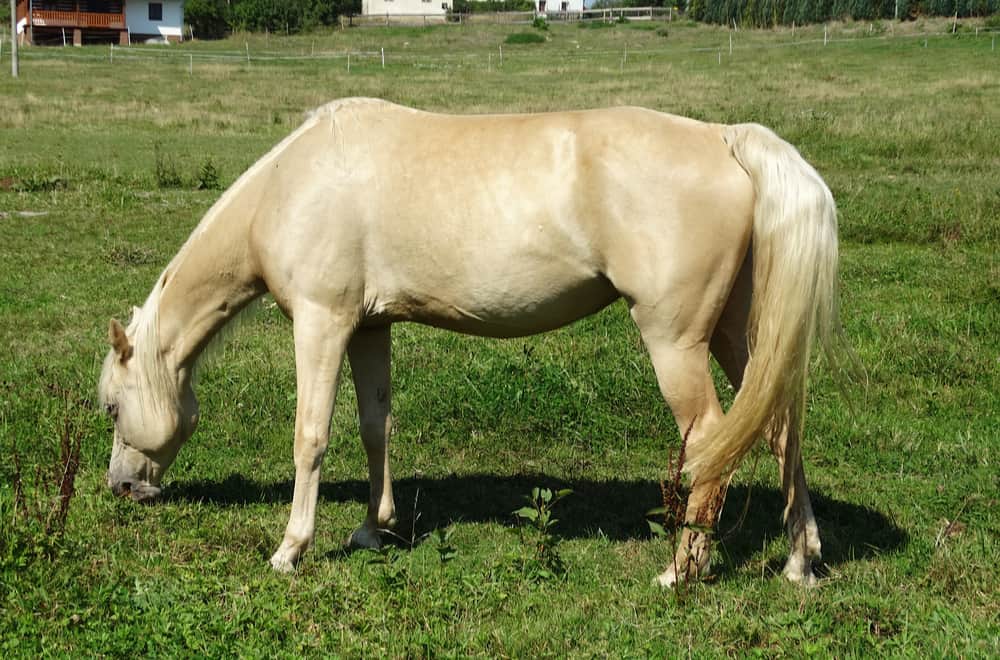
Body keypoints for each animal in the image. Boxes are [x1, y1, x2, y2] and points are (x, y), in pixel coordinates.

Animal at [98, 98, 846, 586]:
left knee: (711, 438)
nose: (123, 488)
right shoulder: (369, 327)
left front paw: (291, 550)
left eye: (110, 406)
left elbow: (311, 435)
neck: (291, 186)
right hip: (737, 335)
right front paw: (374, 528)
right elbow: (375, 426)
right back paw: (799, 561)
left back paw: (682, 569)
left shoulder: (322, 323)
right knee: (779, 428)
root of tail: (725, 138)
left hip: (677, 341)